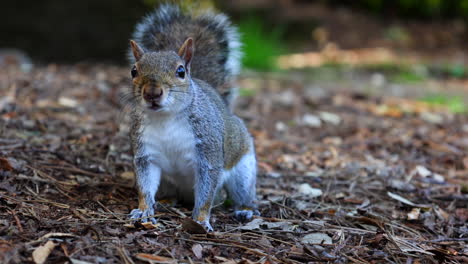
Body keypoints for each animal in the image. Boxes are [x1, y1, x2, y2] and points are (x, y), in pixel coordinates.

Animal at [126, 4, 260, 231]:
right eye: (134, 71)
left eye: (180, 71)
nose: (152, 93)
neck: (166, 118)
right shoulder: (146, 153)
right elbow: (145, 186)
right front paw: (143, 210)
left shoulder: (208, 150)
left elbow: (206, 192)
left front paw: (200, 220)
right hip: (168, 183)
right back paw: (165, 201)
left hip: (243, 170)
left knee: (238, 193)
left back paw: (245, 209)